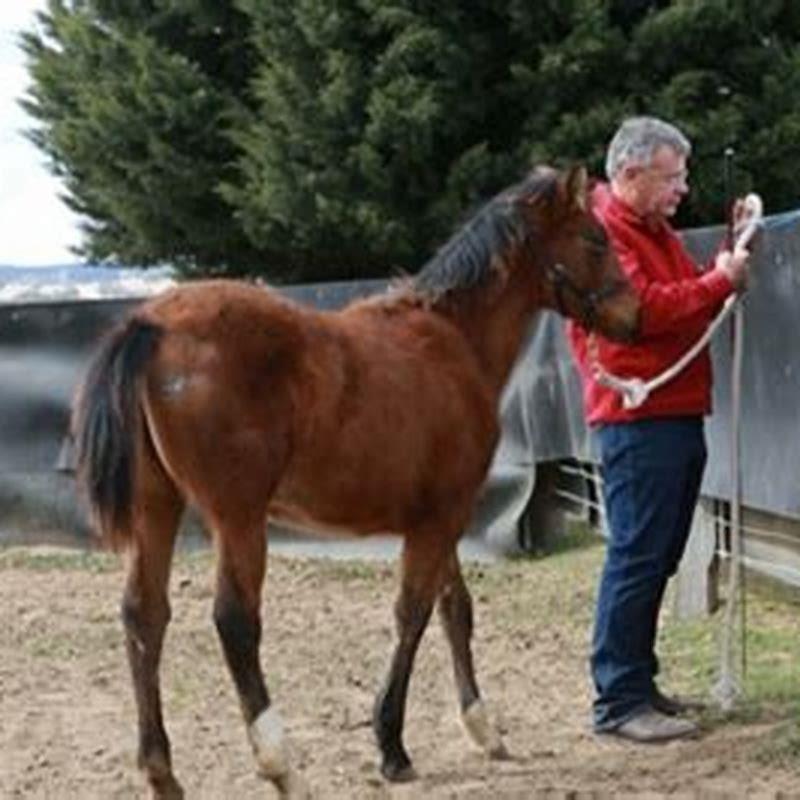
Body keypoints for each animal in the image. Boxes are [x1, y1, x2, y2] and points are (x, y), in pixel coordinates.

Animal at [71, 165, 640, 799]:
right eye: (595, 240)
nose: (635, 316)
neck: (452, 339)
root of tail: (150, 324)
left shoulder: (438, 517)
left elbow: (454, 609)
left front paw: (482, 728)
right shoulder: (443, 516)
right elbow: (413, 612)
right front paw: (391, 745)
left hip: (156, 508)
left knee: (144, 615)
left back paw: (162, 772)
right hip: (238, 518)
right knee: (234, 621)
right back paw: (280, 764)